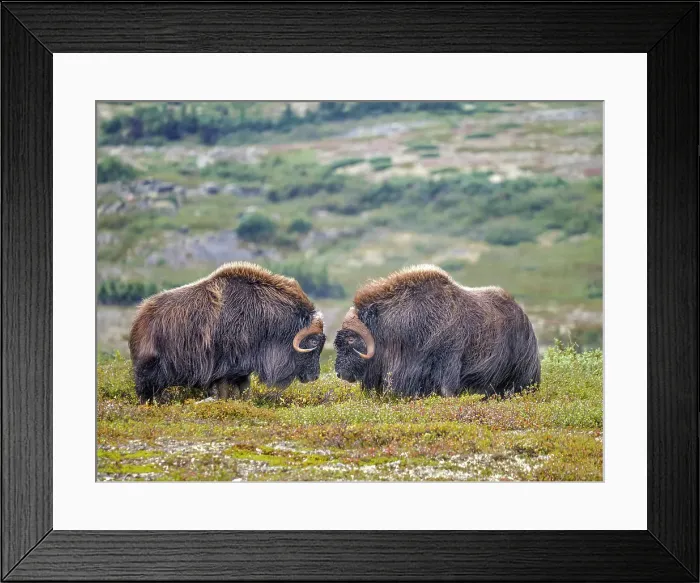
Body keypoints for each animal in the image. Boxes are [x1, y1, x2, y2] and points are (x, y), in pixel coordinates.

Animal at [128, 262, 325, 404]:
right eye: (314, 342)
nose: (315, 376)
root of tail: (139, 319)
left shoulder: (243, 369)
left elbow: (245, 390)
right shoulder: (223, 368)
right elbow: (224, 391)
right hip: (149, 371)